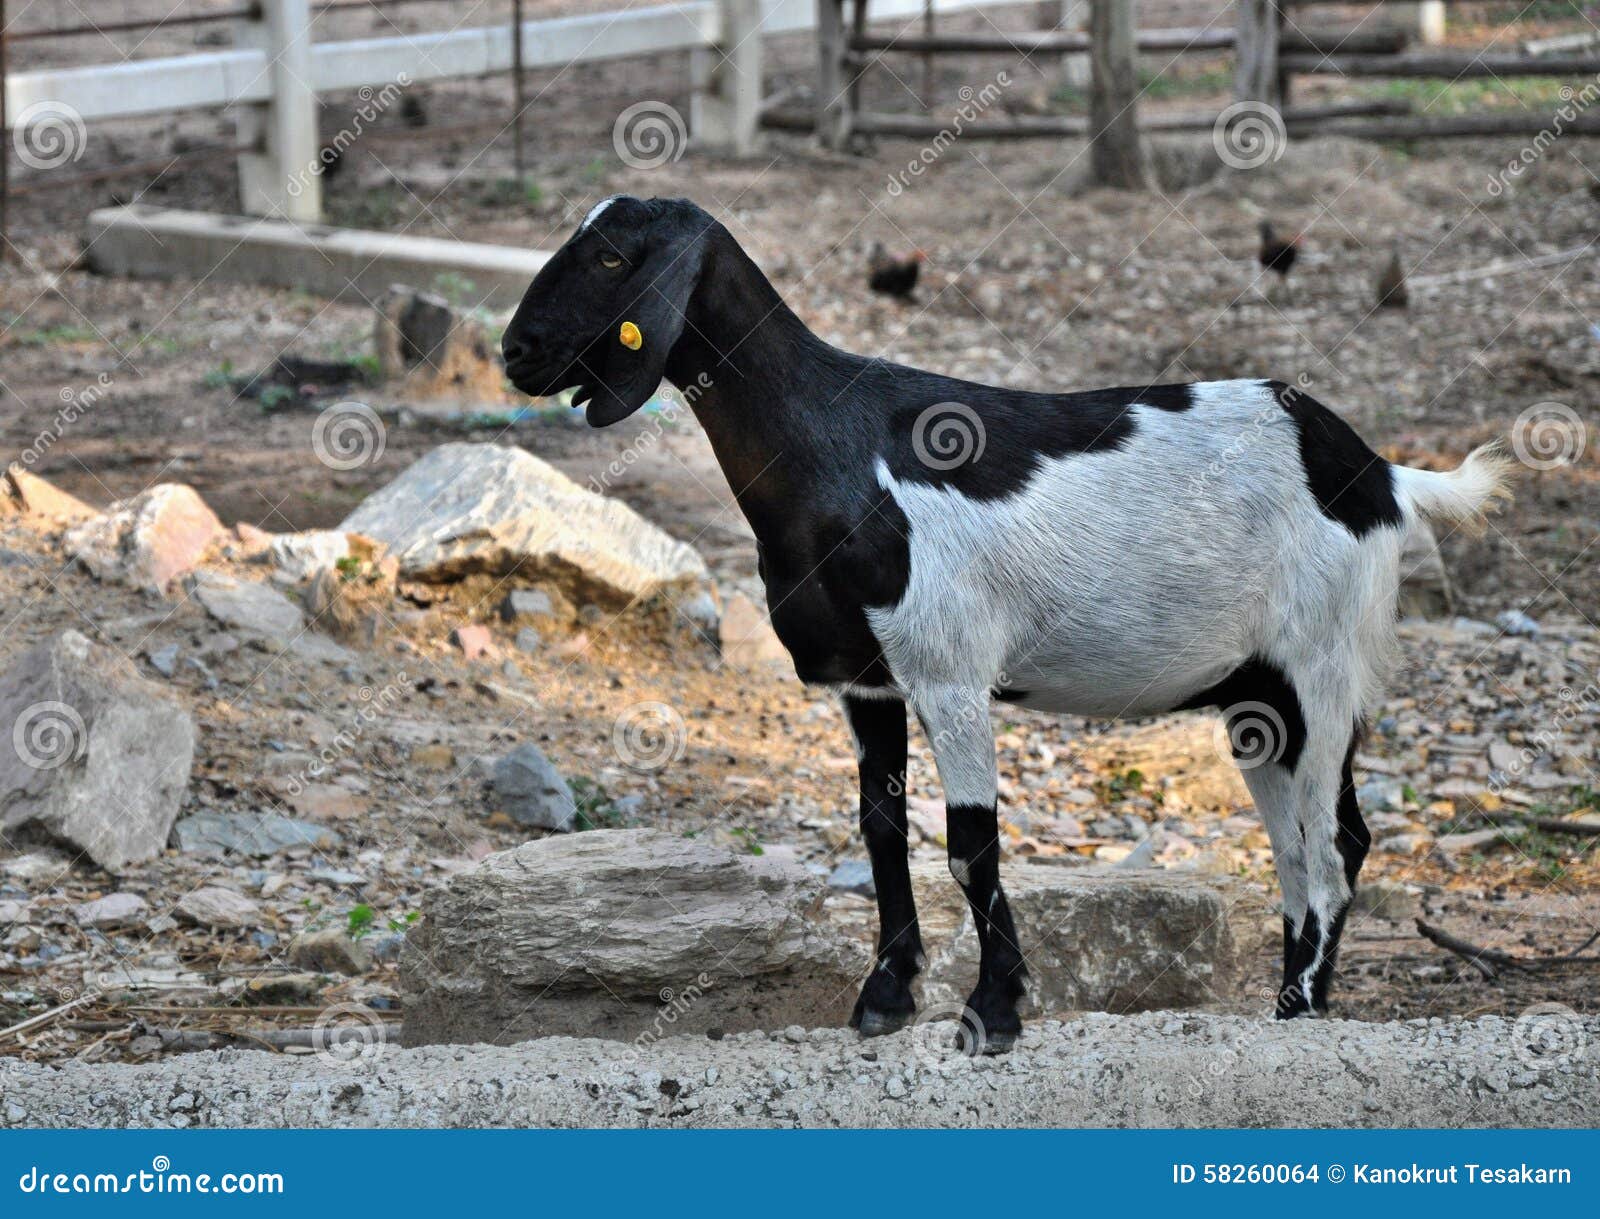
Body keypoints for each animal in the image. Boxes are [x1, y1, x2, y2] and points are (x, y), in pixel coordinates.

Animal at [501, 195, 1513, 1052]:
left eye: (611, 255)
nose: (517, 351)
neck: (833, 445)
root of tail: (1383, 475)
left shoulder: (948, 668)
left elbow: (969, 843)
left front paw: (993, 1009)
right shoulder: (868, 678)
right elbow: (881, 828)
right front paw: (885, 996)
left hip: (1323, 667)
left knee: (1338, 839)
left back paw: (1301, 1006)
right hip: (1258, 695)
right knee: (1297, 841)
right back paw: (1288, 1002)